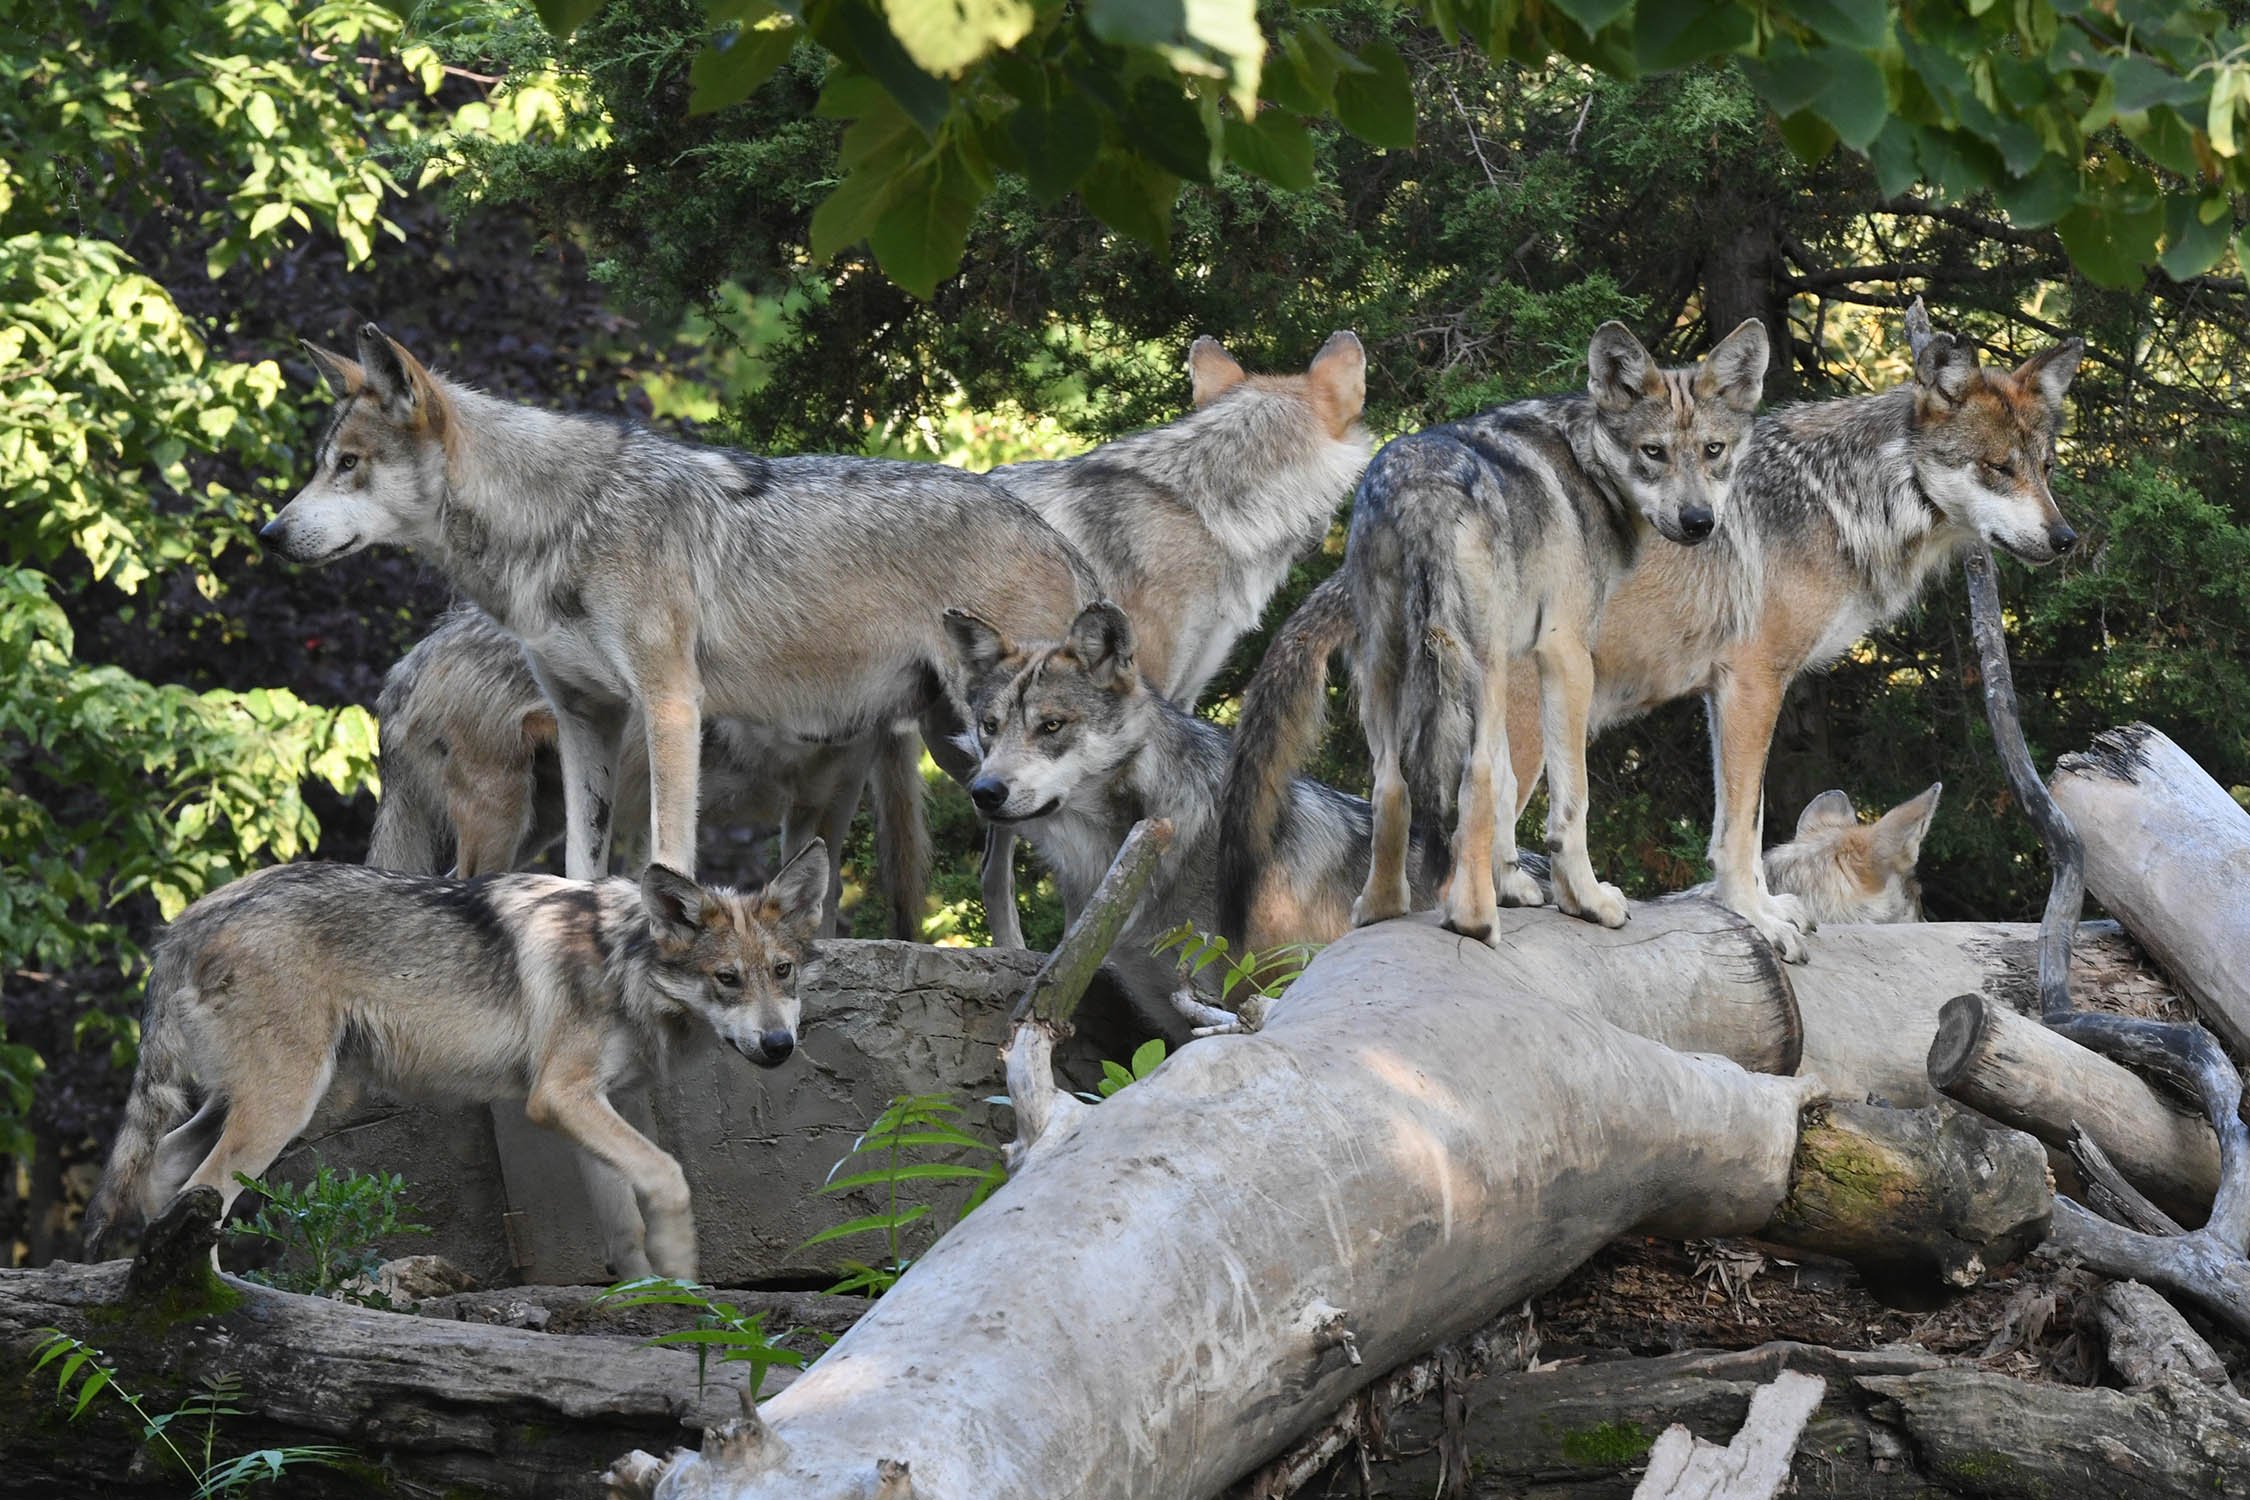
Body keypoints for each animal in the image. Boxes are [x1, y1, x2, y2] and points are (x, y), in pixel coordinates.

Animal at [81, 845, 837, 1277]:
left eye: (782, 972)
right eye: (727, 980)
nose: (780, 1046)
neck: (622, 958)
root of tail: (188, 918)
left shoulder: (593, 1105)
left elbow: (622, 1220)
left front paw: (644, 1295)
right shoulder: (559, 1098)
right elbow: (669, 1178)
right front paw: (683, 1281)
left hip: (283, 1100)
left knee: (170, 1166)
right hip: (287, 1105)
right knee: (199, 1180)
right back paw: (211, 1295)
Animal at [373, 602, 927, 931]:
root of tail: (405, 666)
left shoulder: (825, 804)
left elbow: (821, 898)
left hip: (538, 824)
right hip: (504, 816)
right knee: (464, 880)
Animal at [1224, 319, 1764, 949]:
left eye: (1713, 450)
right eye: (1653, 452)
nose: (1699, 522)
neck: (1588, 465)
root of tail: (1422, 487)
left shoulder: (1517, 657)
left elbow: (1509, 788)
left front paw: (1512, 883)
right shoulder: (1566, 655)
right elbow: (1567, 802)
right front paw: (1585, 900)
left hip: (1391, 667)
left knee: (1391, 787)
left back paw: (1383, 908)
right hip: (1475, 667)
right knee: (1473, 778)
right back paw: (1475, 918)